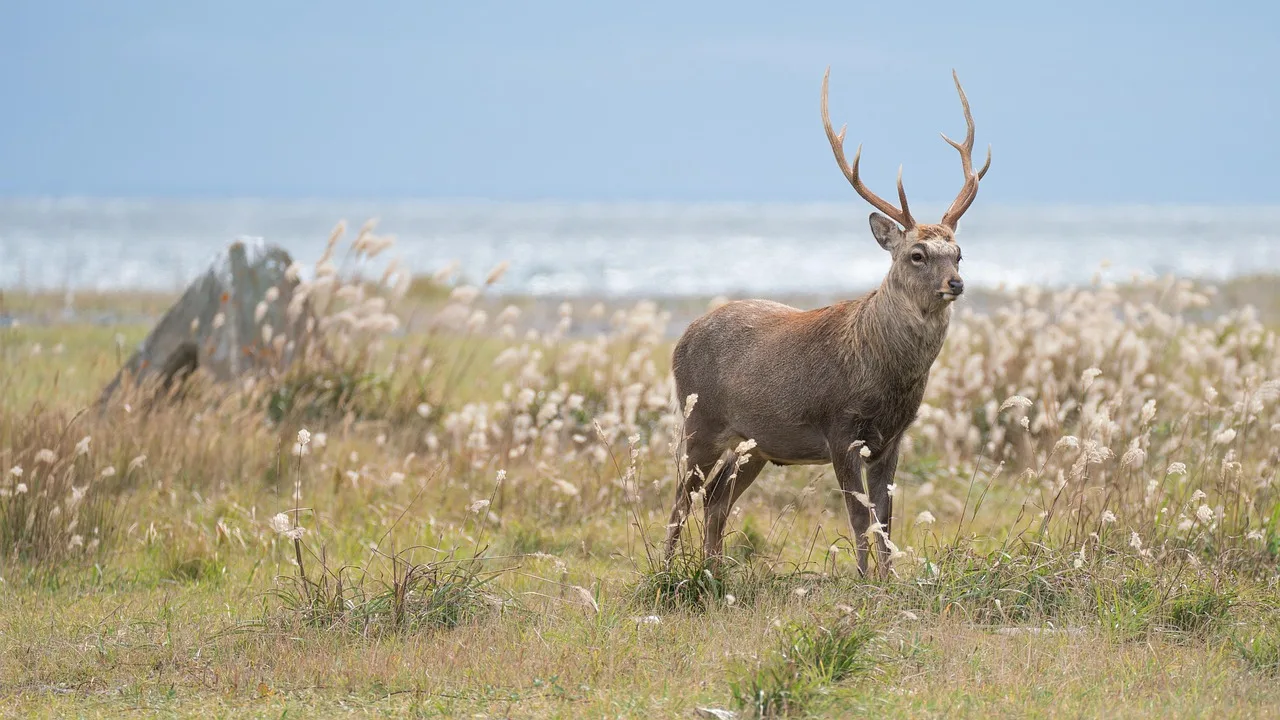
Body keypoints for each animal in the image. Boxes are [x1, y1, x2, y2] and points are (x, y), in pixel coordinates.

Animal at [662, 67, 991, 578]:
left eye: (958, 252)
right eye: (917, 254)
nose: (955, 283)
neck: (883, 374)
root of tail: (681, 339)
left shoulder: (893, 438)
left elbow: (886, 519)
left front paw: (889, 579)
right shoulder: (839, 427)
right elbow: (859, 516)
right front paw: (863, 581)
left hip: (755, 442)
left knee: (716, 498)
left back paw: (715, 571)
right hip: (699, 419)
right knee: (681, 497)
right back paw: (666, 572)